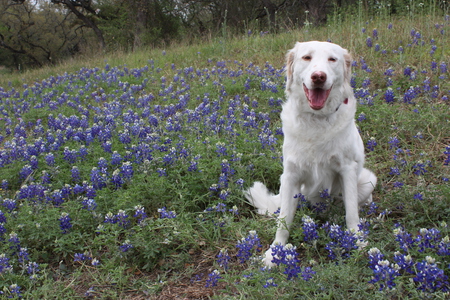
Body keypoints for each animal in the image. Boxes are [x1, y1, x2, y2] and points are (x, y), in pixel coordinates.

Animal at [244, 41, 378, 266]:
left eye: (332, 59)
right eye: (306, 57)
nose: (319, 76)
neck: (316, 119)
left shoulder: (347, 169)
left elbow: (351, 213)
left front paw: (357, 242)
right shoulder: (290, 175)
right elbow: (284, 221)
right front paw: (275, 253)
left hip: (368, 180)